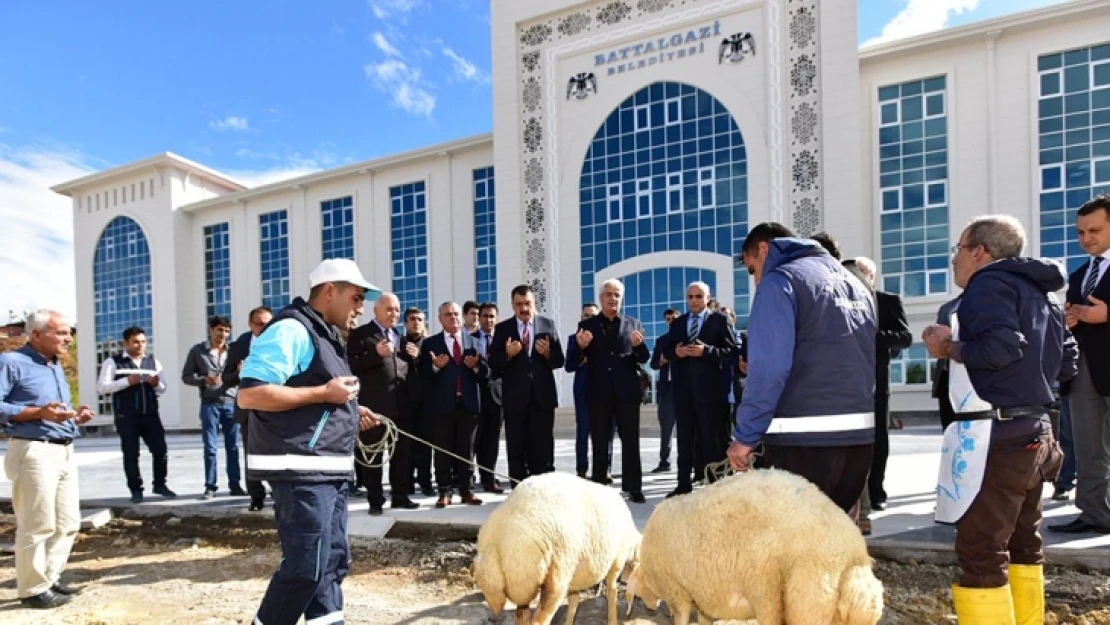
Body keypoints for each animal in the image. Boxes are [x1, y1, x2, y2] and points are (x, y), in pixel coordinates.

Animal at [470, 475, 643, 625]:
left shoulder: (574, 578)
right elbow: (612, 594)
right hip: (557, 573)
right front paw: (613, 620)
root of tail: (498, 542)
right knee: (539, 620)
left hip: (521, 582)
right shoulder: (616, 562)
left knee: (521, 615)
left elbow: (574, 601)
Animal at [630, 470, 879, 625]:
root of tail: (850, 555)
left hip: (791, 594)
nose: (650, 608)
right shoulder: (705, 595)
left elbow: (681, 617)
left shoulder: (678, 591)